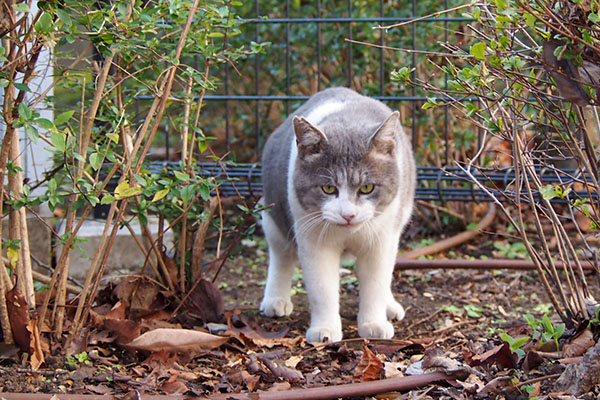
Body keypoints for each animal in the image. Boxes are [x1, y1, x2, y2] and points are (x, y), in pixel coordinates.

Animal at [260, 88, 414, 344]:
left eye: (367, 188)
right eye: (328, 188)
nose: (348, 214)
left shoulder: (382, 239)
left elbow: (376, 282)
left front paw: (374, 323)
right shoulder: (313, 241)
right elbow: (322, 289)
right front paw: (325, 330)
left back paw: (390, 306)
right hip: (273, 218)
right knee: (281, 256)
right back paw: (275, 300)